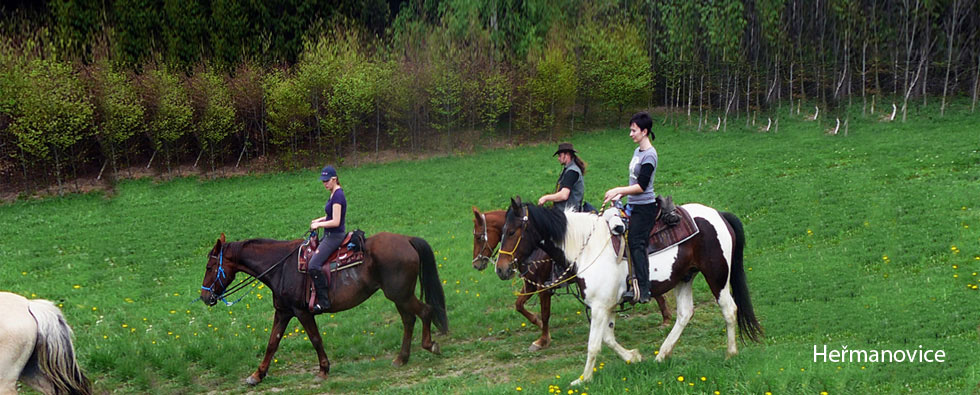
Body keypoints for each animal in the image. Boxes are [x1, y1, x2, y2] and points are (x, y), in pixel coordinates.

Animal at [200, 232, 452, 386]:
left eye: (210, 267)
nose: (204, 296)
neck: (281, 266)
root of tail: (407, 239)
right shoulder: (283, 312)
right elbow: (272, 343)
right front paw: (257, 375)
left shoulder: (302, 312)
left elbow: (315, 339)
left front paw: (323, 370)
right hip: (400, 297)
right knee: (409, 320)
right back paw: (402, 358)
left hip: (401, 295)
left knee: (425, 311)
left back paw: (430, 345)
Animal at [472, 207, 672, 352]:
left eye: (478, 236)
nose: (476, 264)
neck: (537, 249)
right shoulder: (530, 285)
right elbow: (519, 305)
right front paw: (537, 324)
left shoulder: (543, 288)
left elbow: (545, 312)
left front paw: (542, 340)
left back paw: (666, 319)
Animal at [494, 198, 760, 386]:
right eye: (502, 231)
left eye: (513, 232)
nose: (501, 269)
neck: (587, 247)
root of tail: (719, 214)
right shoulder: (607, 305)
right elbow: (608, 339)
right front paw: (634, 357)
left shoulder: (599, 307)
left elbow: (594, 344)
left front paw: (582, 379)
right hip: (685, 278)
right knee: (685, 314)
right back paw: (662, 355)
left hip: (717, 277)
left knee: (729, 309)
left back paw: (730, 353)